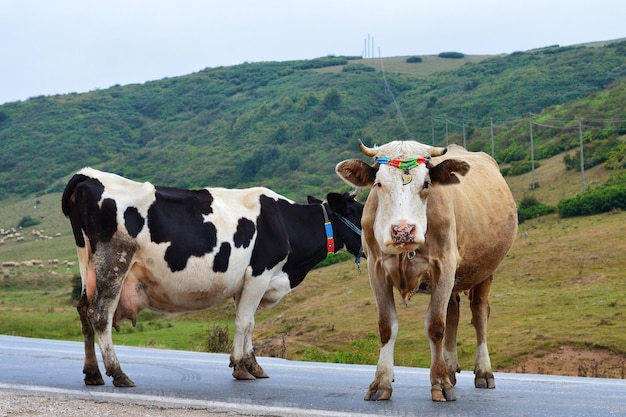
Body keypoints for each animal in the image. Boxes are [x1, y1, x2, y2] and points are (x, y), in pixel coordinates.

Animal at [59, 167, 360, 386]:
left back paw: (93, 374)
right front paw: (240, 367)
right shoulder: (259, 275)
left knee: (84, 311)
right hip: (114, 261)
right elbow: (243, 322)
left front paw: (253, 365)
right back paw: (118, 373)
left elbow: (250, 323)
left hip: (88, 264)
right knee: (100, 314)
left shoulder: (246, 283)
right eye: (359, 213)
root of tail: (87, 175)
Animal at [336, 141, 516, 402]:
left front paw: (440, 383)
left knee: (479, 313)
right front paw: (381, 382)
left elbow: (435, 326)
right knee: (454, 312)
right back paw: (450, 368)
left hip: (485, 270)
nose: (402, 231)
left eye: (426, 184)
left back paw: (483, 372)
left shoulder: (444, 265)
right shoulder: (376, 269)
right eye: (378, 184)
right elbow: (386, 326)